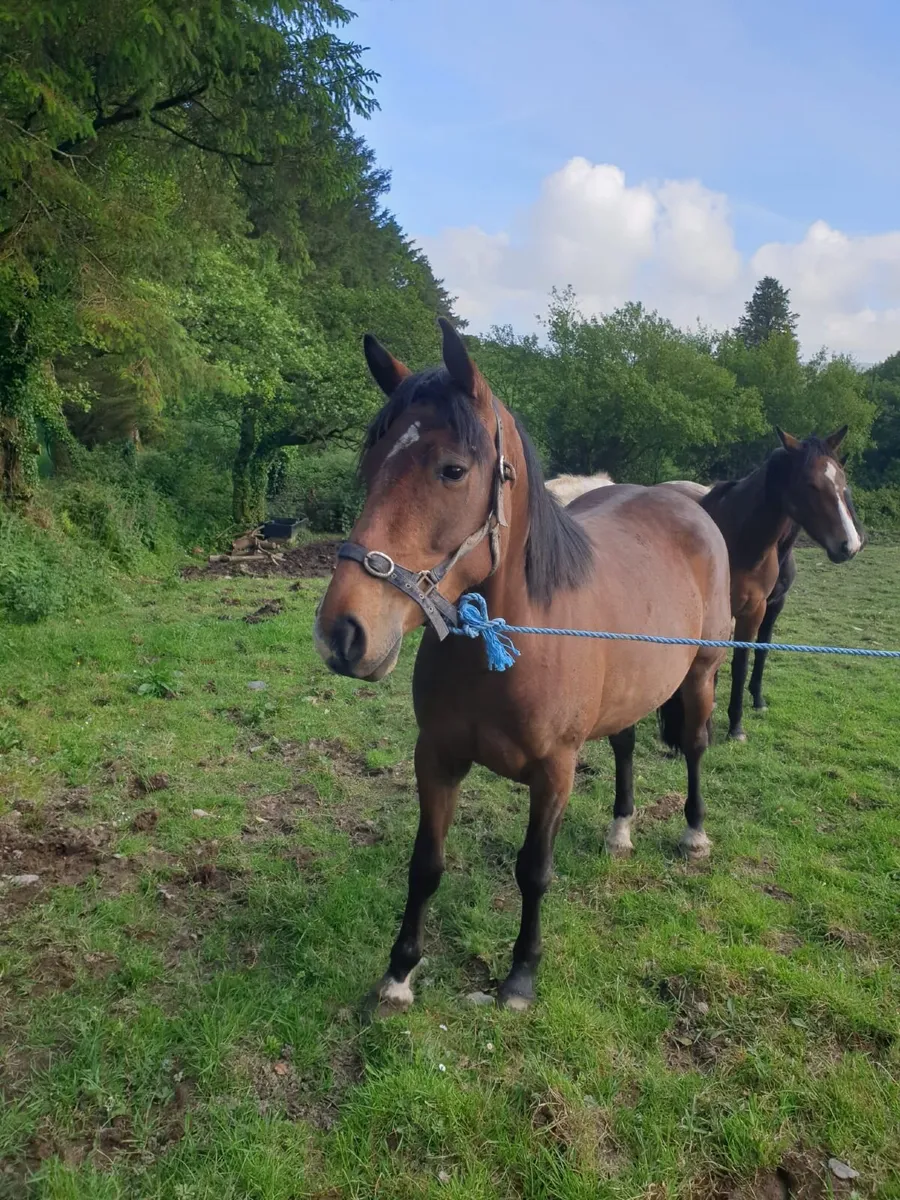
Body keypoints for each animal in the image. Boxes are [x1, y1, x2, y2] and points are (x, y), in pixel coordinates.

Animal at [314, 320, 732, 1013]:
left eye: (453, 470)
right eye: (370, 468)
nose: (342, 633)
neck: (507, 646)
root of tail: (685, 505)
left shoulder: (554, 772)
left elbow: (533, 870)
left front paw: (519, 976)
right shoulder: (437, 758)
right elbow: (425, 864)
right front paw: (399, 975)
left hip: (700, 673)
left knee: (696, 746)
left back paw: (693, 835)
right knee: (624, 746)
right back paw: (620, 831)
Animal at [661, 429, 862, 741]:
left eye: (843, 482)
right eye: (810, 484)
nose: (850, 545)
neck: (741, 541)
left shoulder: (756, 609)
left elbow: (744, 661)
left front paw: (736, 725)